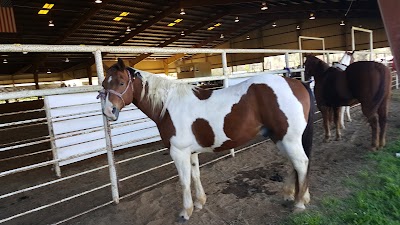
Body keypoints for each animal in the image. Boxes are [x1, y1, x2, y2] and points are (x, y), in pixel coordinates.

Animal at [100, 58, 316, 221]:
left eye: (121, 82)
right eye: (103, 85)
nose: (109, 112)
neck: (169, 105)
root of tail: (298, 83)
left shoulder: (178, 152)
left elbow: (184, 181)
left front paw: (185, 212)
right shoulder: (191, 151)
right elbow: (195, 175)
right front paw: (199, 202)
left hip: (289, 138)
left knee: (301, 163)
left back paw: (299, 204)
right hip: (280, 138)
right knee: (294, 164)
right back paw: (294, 195)